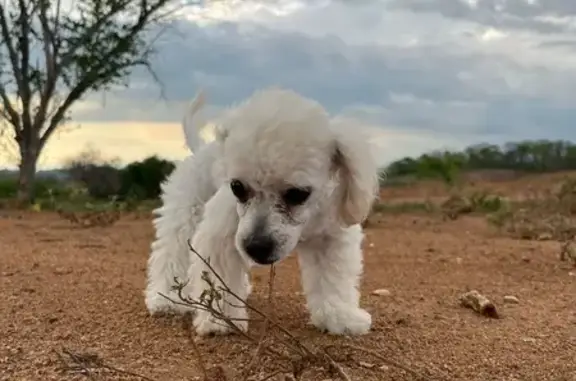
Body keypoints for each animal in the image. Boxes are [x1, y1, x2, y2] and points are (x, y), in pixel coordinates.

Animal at [144, 87, 380, 336]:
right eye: (237, 187)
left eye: (298, 193)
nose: (256, 247)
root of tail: (202, 149)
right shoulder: (220, 236)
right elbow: (220, 278)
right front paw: (220, 321)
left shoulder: (330, 238)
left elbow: (332, 281)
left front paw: (340, 317)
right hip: (184, 218)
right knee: (170, 254)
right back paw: (166, 299)